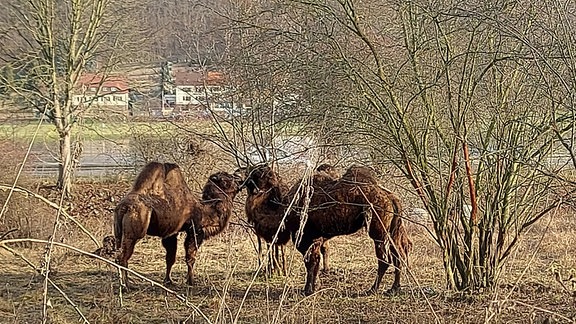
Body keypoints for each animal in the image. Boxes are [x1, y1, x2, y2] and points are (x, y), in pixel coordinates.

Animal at [113, 162, 242, 286]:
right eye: (226, 178)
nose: (238, 179)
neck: (205, 210)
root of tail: (124, 208)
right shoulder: (195, 231)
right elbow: (190, 257)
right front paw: (190, 281)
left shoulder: (171, 233)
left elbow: (170, 258)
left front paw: (168, 281)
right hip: (135, 232)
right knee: (123, 257)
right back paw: (126, 286)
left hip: (118, 233)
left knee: (118, 254)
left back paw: (124, 282)